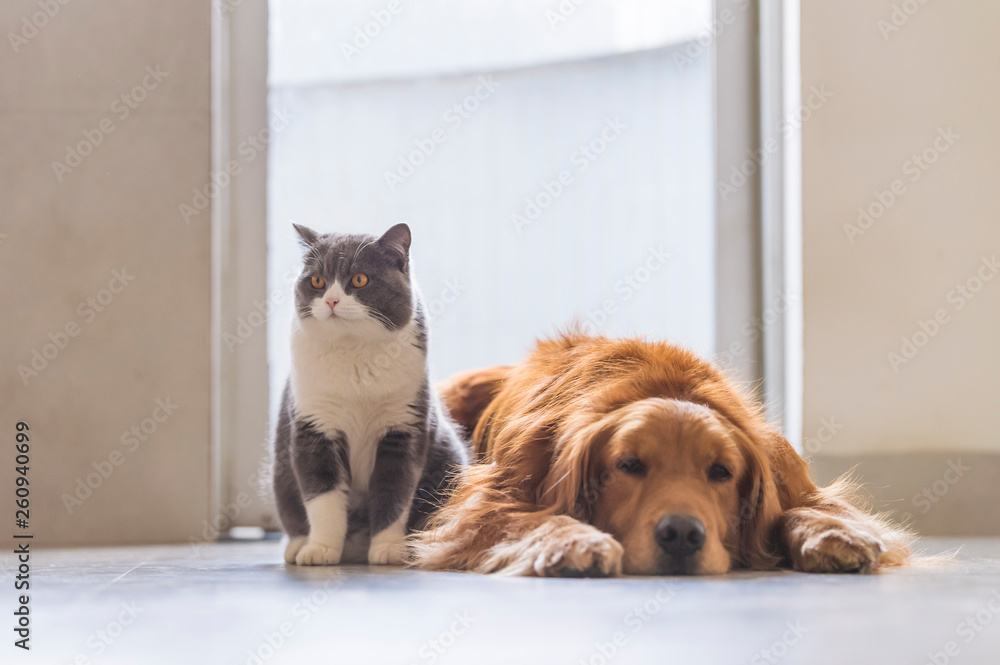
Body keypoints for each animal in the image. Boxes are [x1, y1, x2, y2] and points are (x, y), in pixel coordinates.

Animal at [272, 223, 470, 564]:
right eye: (317, 281)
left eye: (359, 279)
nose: (332, 301)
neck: (354, 354)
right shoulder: (314, 427)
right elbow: (322, 497)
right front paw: (321, 549)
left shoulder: (403, 429)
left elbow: (394, 492)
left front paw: (388, 549)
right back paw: (299, 545)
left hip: (450, 460)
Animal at [410, 334, 912, 572]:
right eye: (629, 465)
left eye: (721, 472)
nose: (682, 535)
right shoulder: (488, 501)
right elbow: (532, 518)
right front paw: (577, 540)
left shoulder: (789, 475)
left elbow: (801, 509)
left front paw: (831, 533)